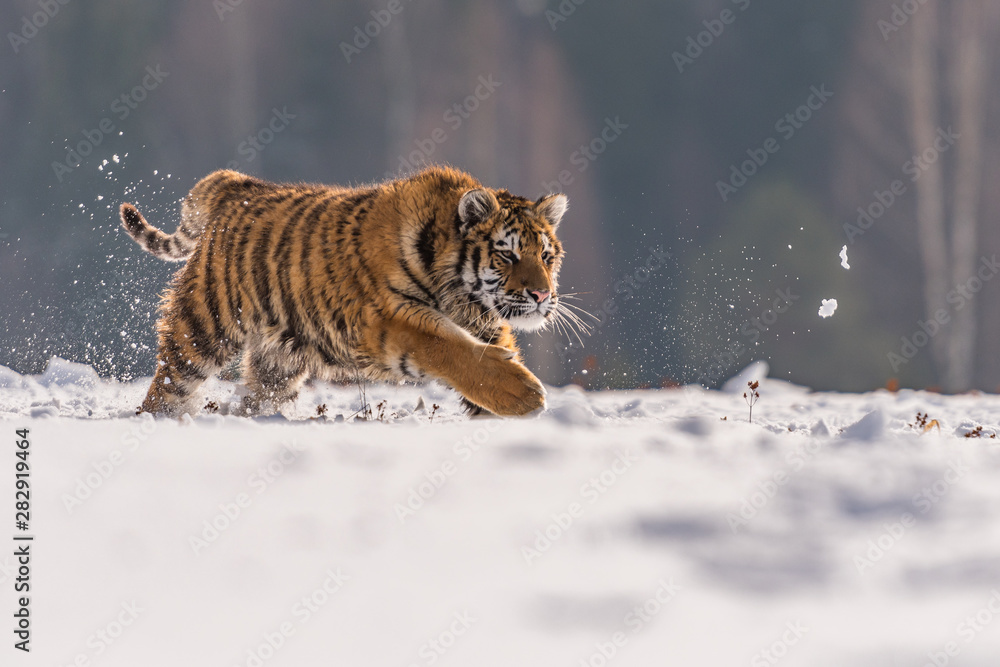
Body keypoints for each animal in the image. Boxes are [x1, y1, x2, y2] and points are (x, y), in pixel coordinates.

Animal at [118, 165, 571, 417]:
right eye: (508, 255)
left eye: (546, 256)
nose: (541, 296)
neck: (463, 296)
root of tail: (237, 185)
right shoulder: (388, 320)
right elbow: (455, 351)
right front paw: (525, 395)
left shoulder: (485, 321)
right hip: (203, 327)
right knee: (168, 386)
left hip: (279, 359)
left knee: (258, 398)